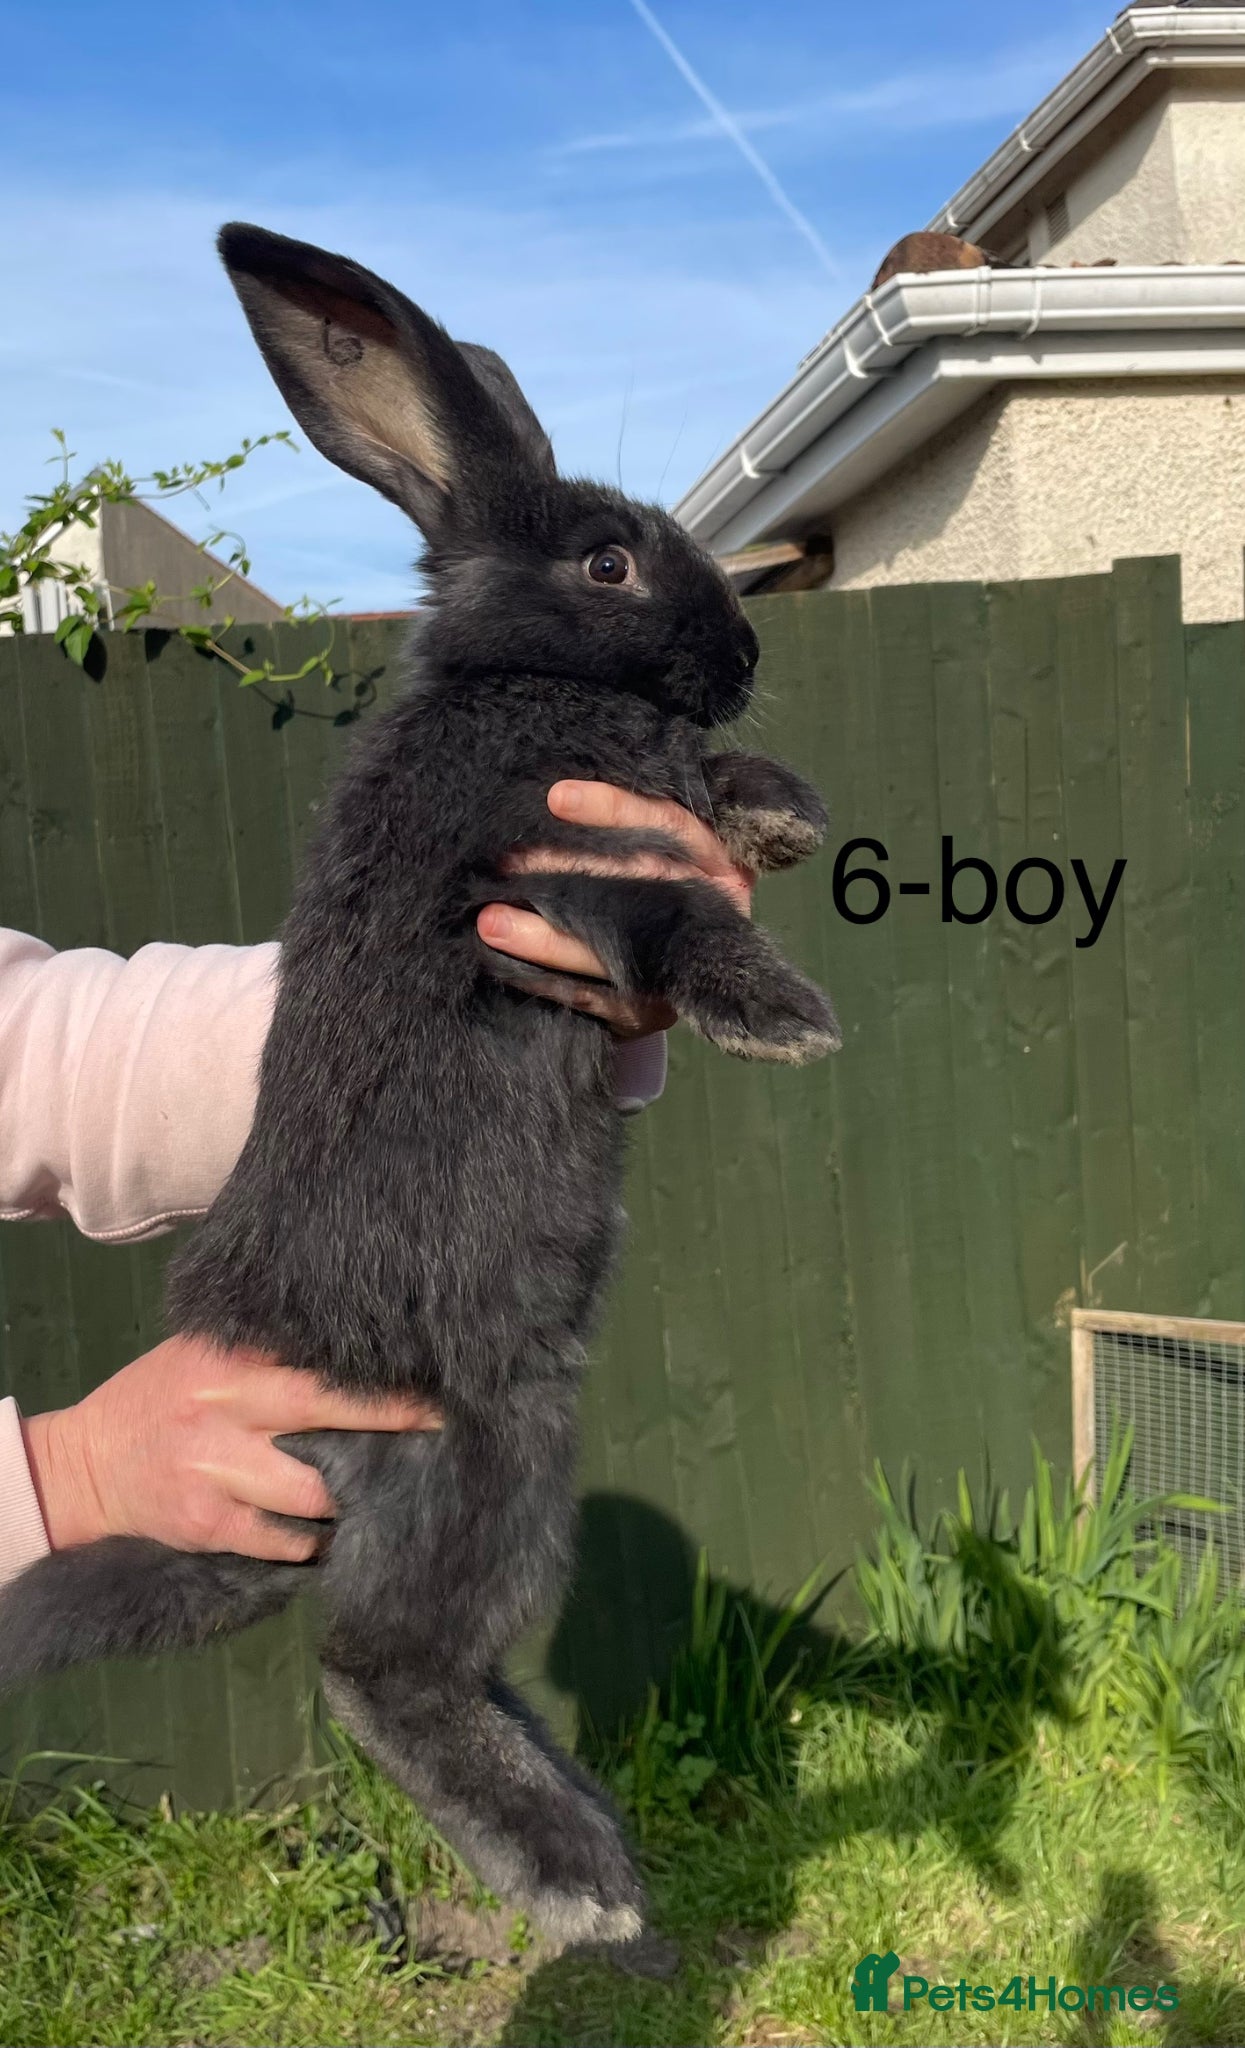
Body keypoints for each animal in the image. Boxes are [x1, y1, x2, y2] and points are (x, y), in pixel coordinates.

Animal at [0, 224, 838, 1957]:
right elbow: (675, 918)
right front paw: (784, 1014)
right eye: (608, 563)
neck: (515, 681)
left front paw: (781, 806)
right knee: (375, 1673)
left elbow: (715, 814)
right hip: (487, 1455)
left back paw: (591, 1834)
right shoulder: (544, 870)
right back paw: (581, 1884)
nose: (740, 661)